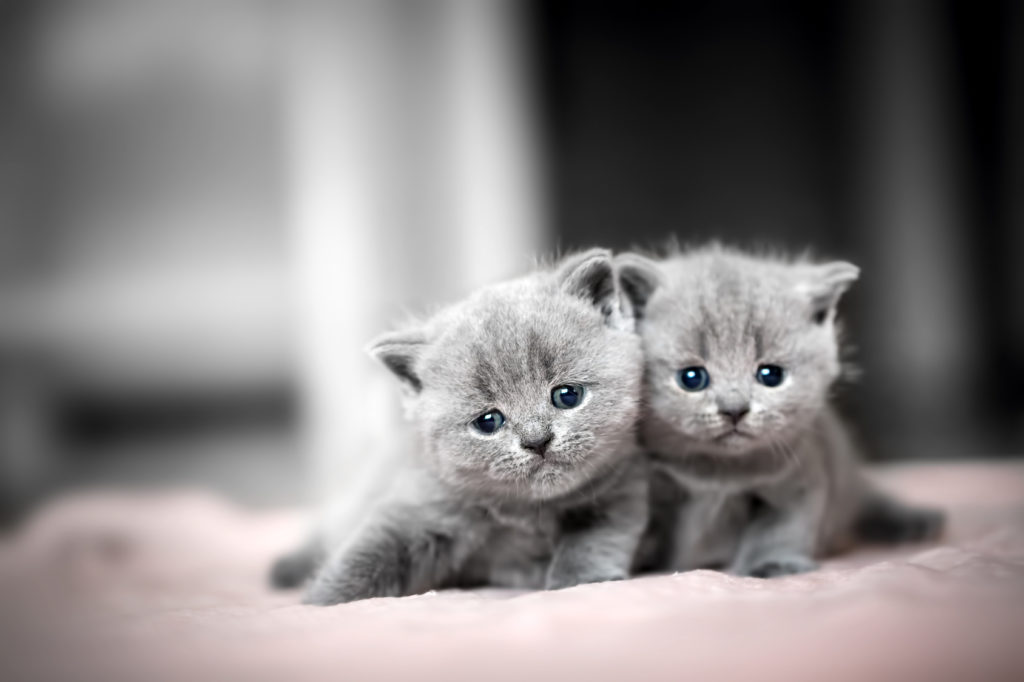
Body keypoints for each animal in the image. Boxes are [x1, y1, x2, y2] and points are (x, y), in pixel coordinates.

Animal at [272, 248, 647, 602]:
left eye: (568, 395)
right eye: (488, 421)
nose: (536, 439)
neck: (529, 513)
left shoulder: (621, 488)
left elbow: (595, 539)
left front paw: (581, 580)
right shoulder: (420, 504)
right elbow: (365, 554)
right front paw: (318, 602)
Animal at [614, 244, 942, 573]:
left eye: (771, 375)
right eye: (691, 378)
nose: (734, 409)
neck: (719, 473)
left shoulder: (800, 479)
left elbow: (781, 529)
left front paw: (772, 565)